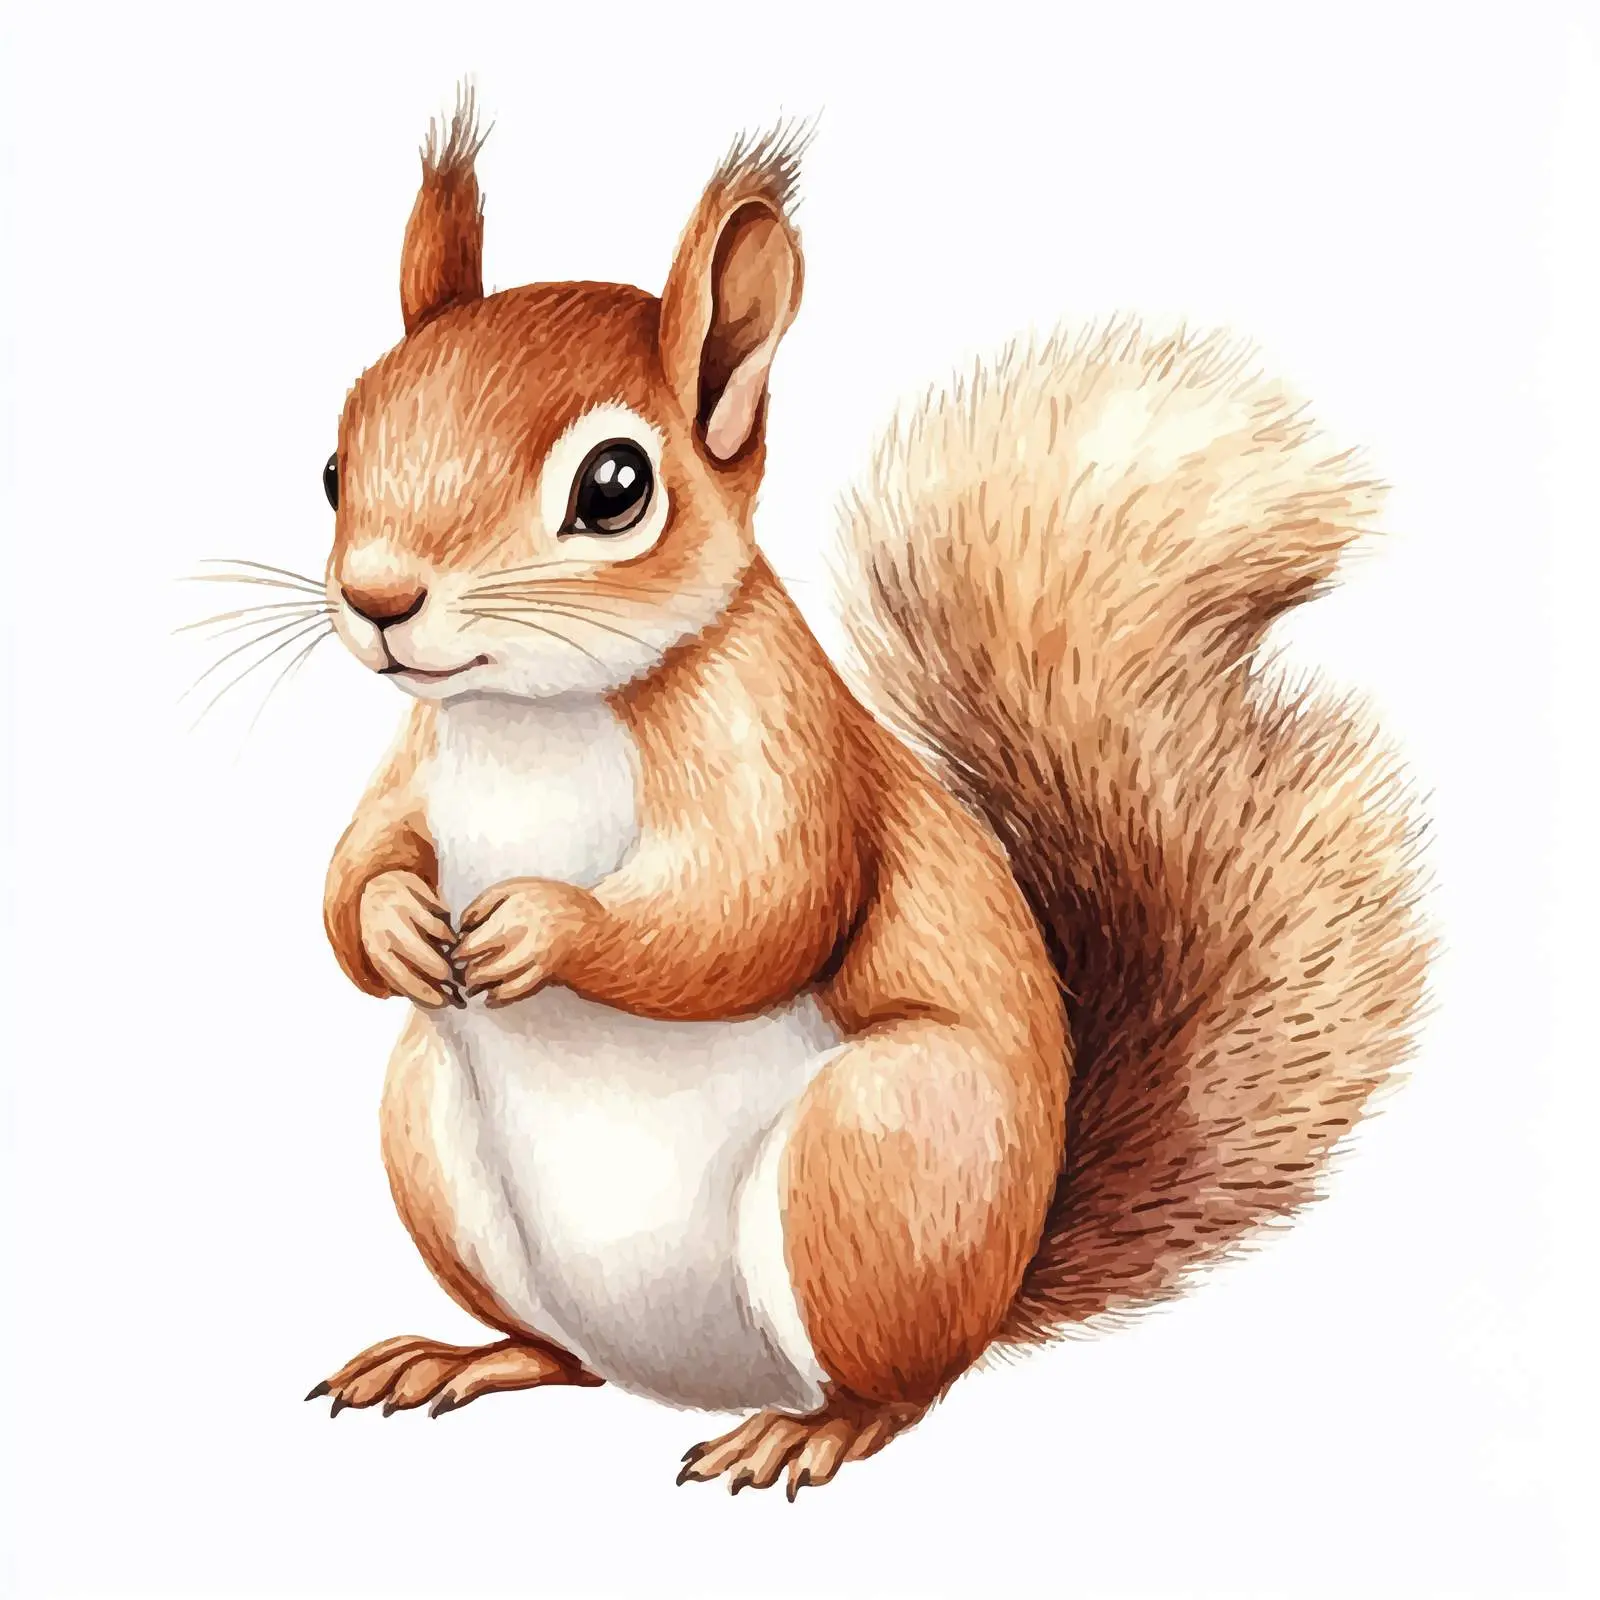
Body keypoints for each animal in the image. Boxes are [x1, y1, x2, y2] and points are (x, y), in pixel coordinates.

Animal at [304, 95, 1429, 1497]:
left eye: (613, 487)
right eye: (333, 465)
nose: (379, 601)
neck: (532, 713)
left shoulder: (782, 750)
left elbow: (757, 906)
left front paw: (543, 926)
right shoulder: (418, 760)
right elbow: (350, 875)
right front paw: (399, 924)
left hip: (881, 1156)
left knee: (900, 1388)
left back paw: (809, 1429)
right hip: (430, 1130)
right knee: (561, 1353)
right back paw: (460, 1356)